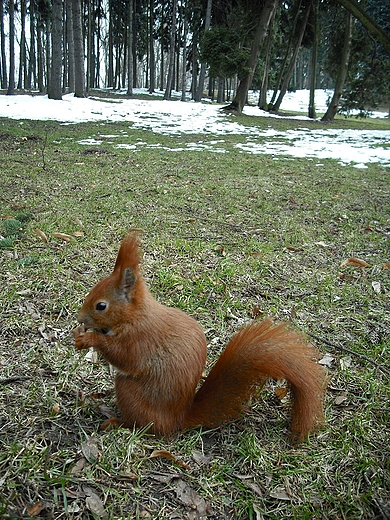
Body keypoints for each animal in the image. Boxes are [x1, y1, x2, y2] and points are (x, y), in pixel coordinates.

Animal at [74, 234, 326, 440]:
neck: (134, 316)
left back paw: (118, 424)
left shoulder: (139, 339)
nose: (79, 319)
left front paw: (89, 340)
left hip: (130, 393)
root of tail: (178, 419)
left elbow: (123, 356)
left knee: (144, 427)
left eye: (101, 306)